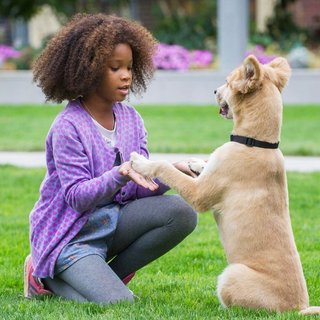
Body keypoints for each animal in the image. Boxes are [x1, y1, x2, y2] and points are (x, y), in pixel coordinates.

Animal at [130, 55, 320, 316]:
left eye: (229, 83)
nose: (214, 91)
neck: (256, 142)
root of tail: (297, 309)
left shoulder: (199, 194)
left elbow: (166, 168)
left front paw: (142, 163)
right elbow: (198, 168)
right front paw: (196, 162)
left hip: (232, 274)